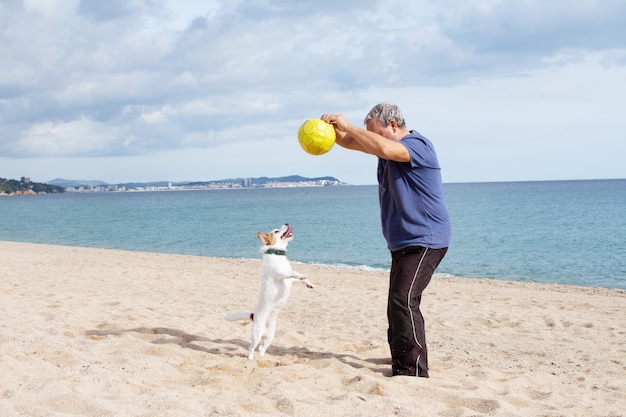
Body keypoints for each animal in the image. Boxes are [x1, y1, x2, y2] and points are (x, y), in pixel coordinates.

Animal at [223, 223, 314, 360]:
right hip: (257, 334)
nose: (287, 223)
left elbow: (299, 279)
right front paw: (302, 275)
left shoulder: (290, 281)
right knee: (251, 347)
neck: (277, 254)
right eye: (276, 231)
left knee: (261, 348)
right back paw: (250, 358)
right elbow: (294, 273)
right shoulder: (282, 274)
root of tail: (253, 316)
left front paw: (309, 283)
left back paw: (262, 358)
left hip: (269, 337)